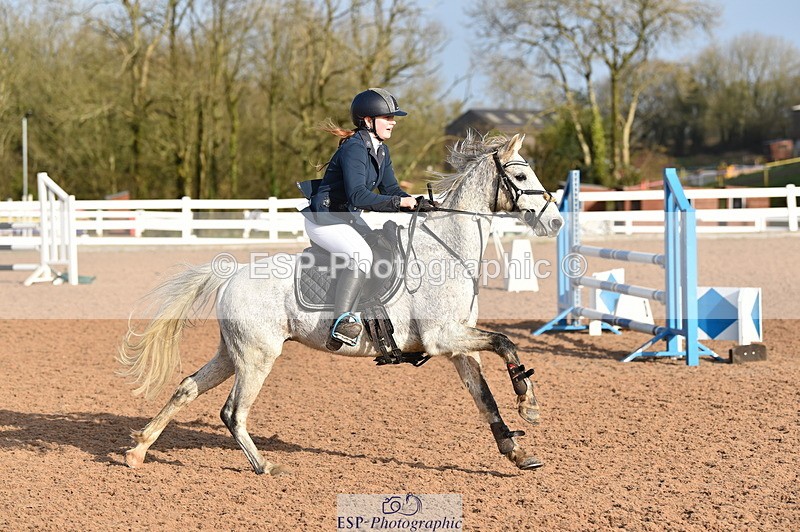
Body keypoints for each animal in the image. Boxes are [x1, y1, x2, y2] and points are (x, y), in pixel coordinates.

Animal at [118, 132, 564, 475]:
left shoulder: (458, 346)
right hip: (257, 357)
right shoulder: (445, 337)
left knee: (187, 388)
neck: (447, 249)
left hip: (234, 353)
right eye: (520, 175)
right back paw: (264, 465)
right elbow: (506, 341)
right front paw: (529, 406)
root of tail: (231, 276)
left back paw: (138, 451)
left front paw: (517, 450)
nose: (556, 221)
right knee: (232, 412)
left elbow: (485, 397)